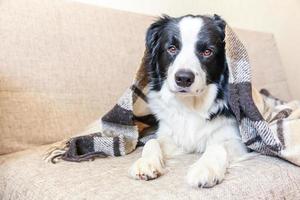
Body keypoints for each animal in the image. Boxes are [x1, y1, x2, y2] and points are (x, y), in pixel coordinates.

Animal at [127, 14, 247, 188]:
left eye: (207, 52)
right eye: (172, 48)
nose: (183, 78)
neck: (191, 104)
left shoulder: (237, 139)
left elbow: (218, 145)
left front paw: (205, 168)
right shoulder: (172, 136)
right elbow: (153, 142)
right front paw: (146, 162)